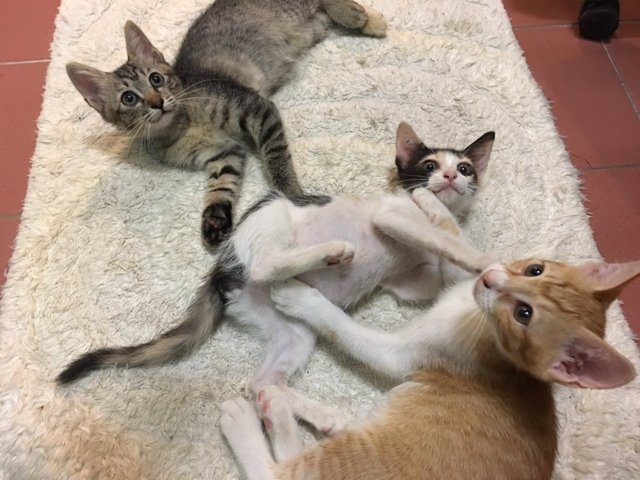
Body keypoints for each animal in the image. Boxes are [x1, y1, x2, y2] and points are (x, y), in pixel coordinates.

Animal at [56, 123, 496, 432]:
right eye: (429, 166)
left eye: (464, 168)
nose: (451, 179)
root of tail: (222, 269)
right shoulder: (390, 214)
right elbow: (441, 236)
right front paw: (479, 259)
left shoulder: (407, 281)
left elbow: (433, 271)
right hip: (273, 217)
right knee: (266, 263)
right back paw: (332, 251)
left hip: (287, 327)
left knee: (263, 382)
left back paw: (318, 415)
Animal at [66, 0, 384, 248]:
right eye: (129, 98)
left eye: (156, 78)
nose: (157, 102)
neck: (181, 127)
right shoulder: (224, 153)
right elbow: (221, 185)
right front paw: (215, 219)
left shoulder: (256, 109)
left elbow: (277, 159)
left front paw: (293, 196)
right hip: (312, 26)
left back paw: (360, 16)